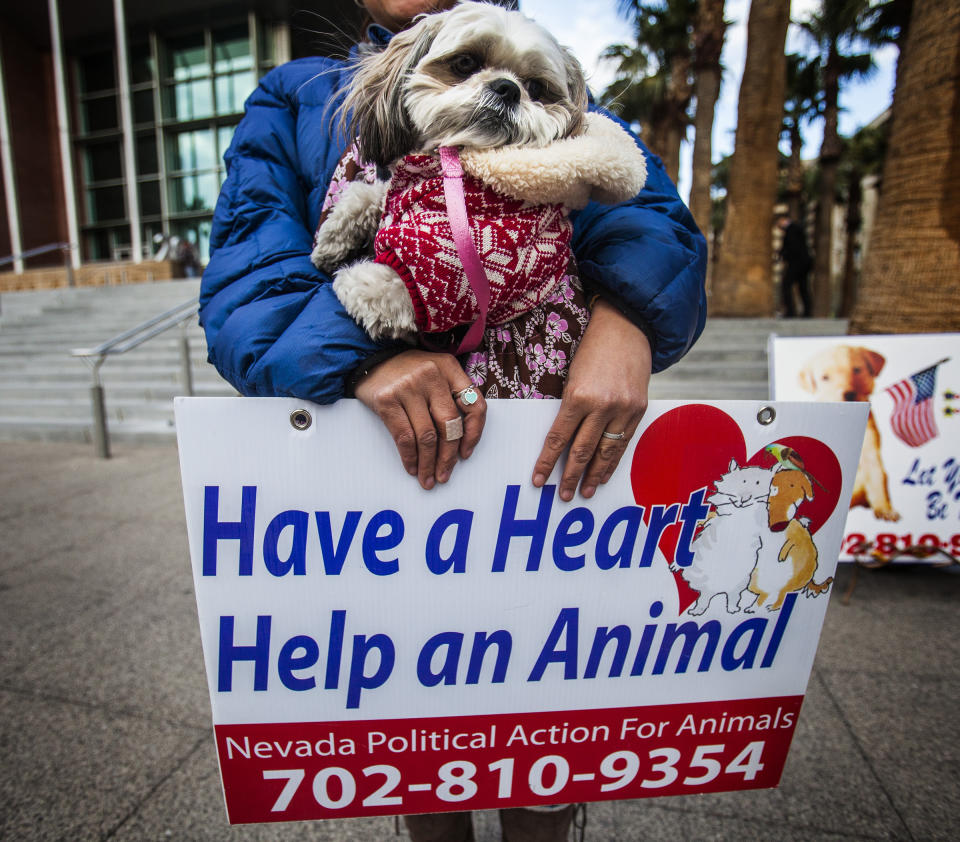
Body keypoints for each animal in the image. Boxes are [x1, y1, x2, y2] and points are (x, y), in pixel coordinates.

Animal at [312, 0, 648, 356]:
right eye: (465, 63)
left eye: (535, 87)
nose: (508, 88)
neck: (462, 165)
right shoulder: (404, 190)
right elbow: (368, 194)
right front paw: (332, 239)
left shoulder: (440, 281)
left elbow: (363, 286)